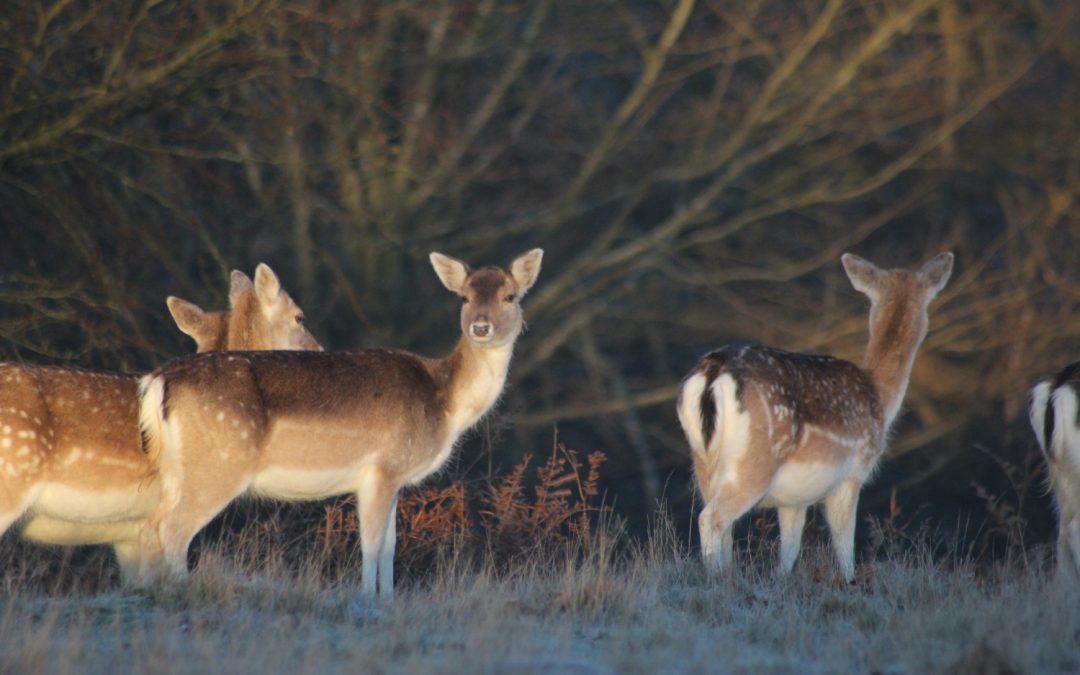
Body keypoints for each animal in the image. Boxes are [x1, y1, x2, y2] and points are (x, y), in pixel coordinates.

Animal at [136, 249, 543, 598]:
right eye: (464, 298)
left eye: (510, 296)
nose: (481, 327)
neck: (444, 405)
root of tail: (159, 379)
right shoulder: (382, 467)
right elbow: (371, 544)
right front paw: (367, 600)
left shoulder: (394, 478)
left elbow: (390, 546)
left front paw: (388, 599)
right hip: (219, 464)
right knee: (172, 529)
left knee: (152, 527)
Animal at [677, 252, 953, 582]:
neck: (878, 398)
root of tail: (712, 374)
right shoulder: (852, 475)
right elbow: (844, 548)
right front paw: (849, 582)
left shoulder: (794, 499)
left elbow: (789, 552)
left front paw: (780, 581)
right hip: (754, 462)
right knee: (712, 518)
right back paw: (714, 579)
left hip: (702, 463)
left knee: (721, 525)